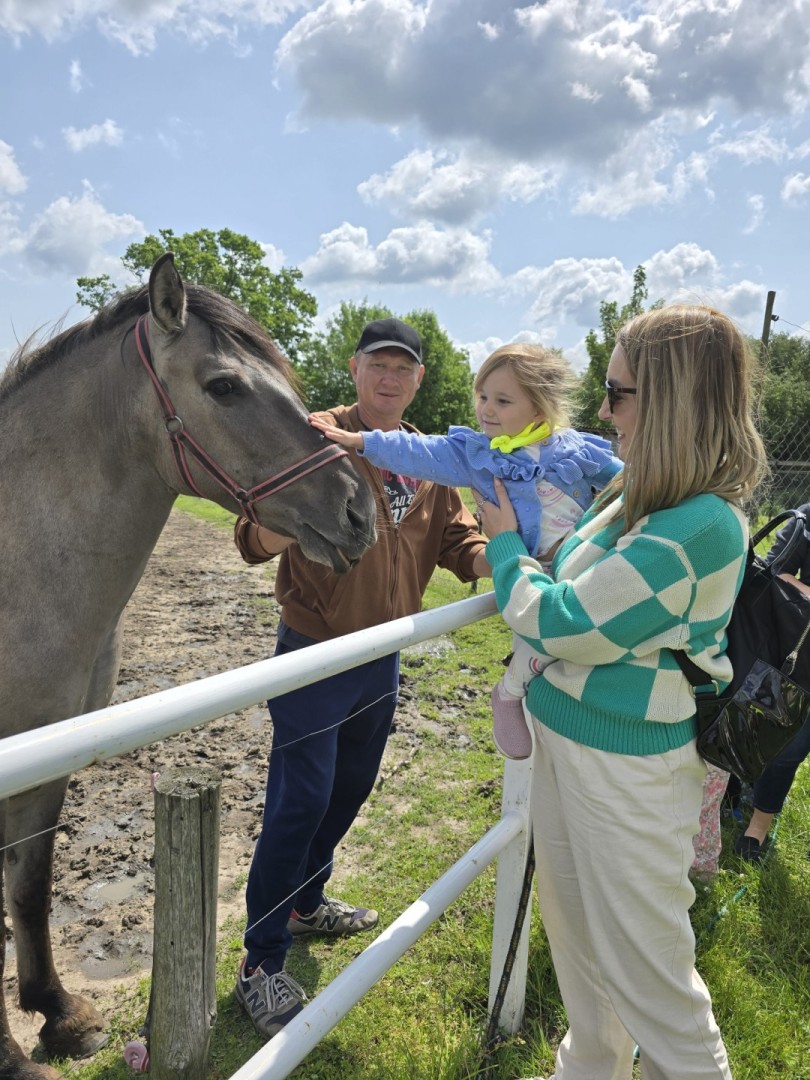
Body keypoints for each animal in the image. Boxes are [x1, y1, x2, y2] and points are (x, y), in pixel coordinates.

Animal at [0, 253, 377, 1079]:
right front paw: (11, 1056)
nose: (359, 509)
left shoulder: (51, 755)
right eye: (225, 386)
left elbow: (31, 883)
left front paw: (59, 1014)